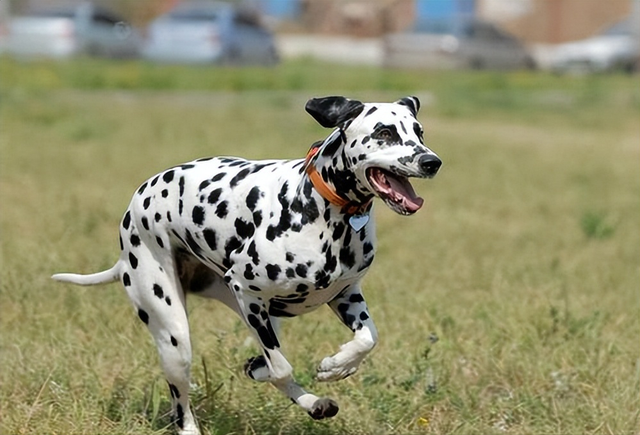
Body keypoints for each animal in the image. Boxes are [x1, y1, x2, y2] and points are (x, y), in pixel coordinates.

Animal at [51, 97, 440, 434]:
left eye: (419, 131)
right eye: (384, 132)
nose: (431, 162)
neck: (322, 208)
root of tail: (136, 203)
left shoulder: (345, 296)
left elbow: (367, 339)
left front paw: (336, 365)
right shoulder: (247, 291)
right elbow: (281, 368)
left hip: (257, 315)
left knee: (260, 363)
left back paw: (310, 399)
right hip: (175, 334)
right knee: (182, 403)